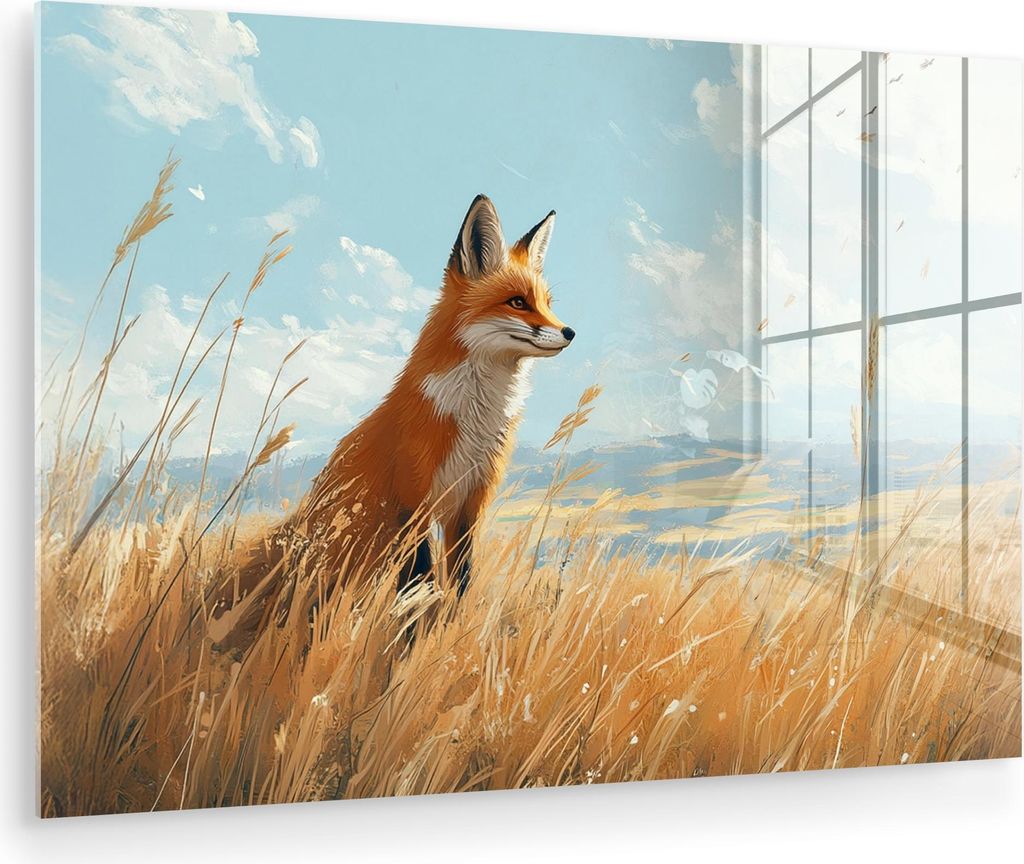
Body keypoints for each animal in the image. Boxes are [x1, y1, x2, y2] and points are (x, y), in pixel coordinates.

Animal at [210, 194, 574, 646]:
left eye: (547, 304)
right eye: (518, 302)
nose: (569, 332)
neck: (473, 419)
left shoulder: (468, 503)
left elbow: (459, 582)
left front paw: (448, 634)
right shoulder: (411, 501)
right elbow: (418, 585)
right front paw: (414, 638)